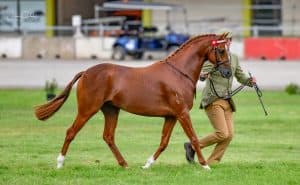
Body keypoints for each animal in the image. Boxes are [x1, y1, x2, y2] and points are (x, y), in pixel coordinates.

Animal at [35, 33, 232, 171]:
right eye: (221, 50)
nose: (228, 73)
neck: (179, 73)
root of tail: (85, 72)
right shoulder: (182, 113)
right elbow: (193, 138)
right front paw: (205, 165)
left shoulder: (171, 116)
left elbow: (164, 142)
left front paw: (147, 164)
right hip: (87, 110)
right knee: (71, 132)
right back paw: (59, 163)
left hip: (111, 110)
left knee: (108, 136)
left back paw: (125, 164)